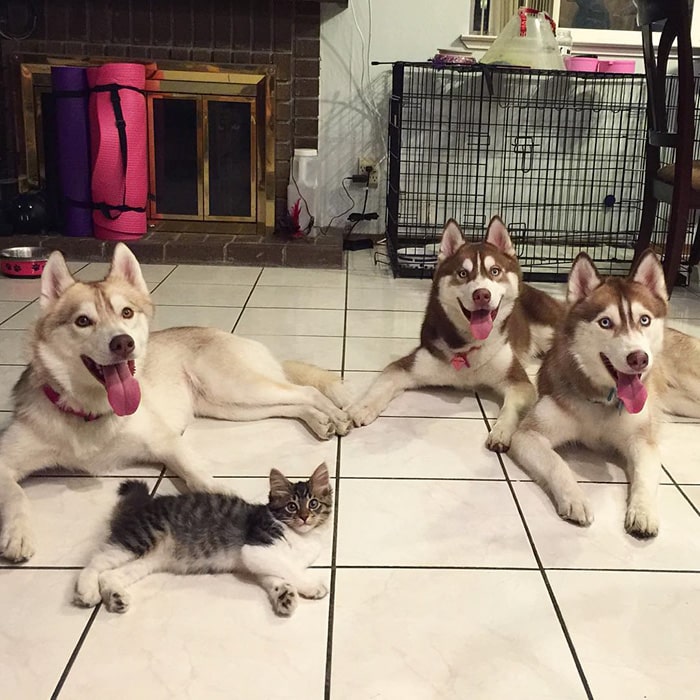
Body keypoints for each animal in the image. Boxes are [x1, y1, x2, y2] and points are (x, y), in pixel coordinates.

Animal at [74, 464, 334, 616]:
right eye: (292, 506)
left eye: (313, 504)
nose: (304, 517)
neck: (302, 536)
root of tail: (139, 507)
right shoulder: (256, 547)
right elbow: (288, 569)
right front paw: (312, 585)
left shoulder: (257, 561)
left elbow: (277, 576)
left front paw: (284, 594)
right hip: (139, 538)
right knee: (96, 562)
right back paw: (87, 591)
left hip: (148, 561)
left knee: (110, 574)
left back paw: (116, 597)